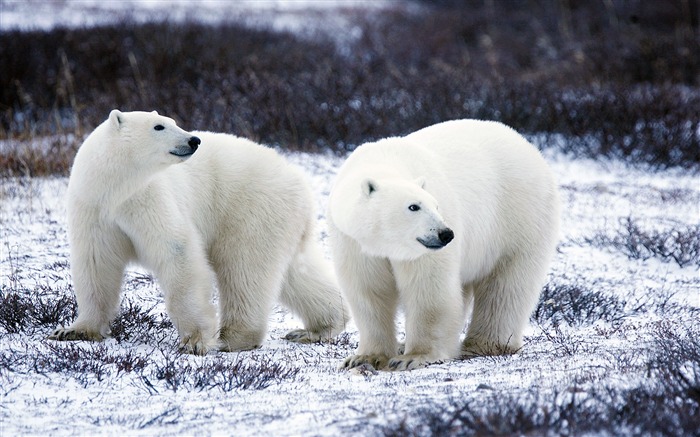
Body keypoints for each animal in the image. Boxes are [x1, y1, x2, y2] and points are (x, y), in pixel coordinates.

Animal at [47, 110, 348, 354]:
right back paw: (318, 327)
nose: (194, 140)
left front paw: (194, 341)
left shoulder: (148, 198)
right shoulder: (94, 209)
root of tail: (300, 181)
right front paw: (74, 330)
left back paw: (233, 337)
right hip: (281, 220)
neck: (115, 188)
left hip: (251, 208)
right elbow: (96, 263)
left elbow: (177, 251)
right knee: (296, 272)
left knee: (244, 269)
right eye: (159, 126)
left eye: (173, 121)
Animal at [330, 118, 564, 368]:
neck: (384, 161)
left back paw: (483, 345)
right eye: (414, 206)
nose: (446, 234)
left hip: (519, 217)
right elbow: (368, 291)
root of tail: (528, 146)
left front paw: (413, 357)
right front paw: (364, 358)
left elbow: (429, 288)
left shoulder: (423, 250)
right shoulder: (354, 242)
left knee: (506, 285)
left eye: (436, 205)